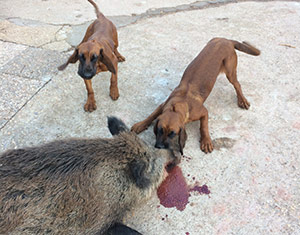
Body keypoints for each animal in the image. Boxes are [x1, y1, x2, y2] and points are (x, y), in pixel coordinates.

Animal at [131, 37, 260, 155]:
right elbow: (152, 115)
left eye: (172, 133)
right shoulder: (163, 105)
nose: (159, 146)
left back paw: (242, 100)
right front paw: (141, 124)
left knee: (237, 84)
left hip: (230, 71)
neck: (177, 106)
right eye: (159, 130)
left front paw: (206, 141)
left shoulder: (203, 112)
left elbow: (204, 126)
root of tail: (226, 40)